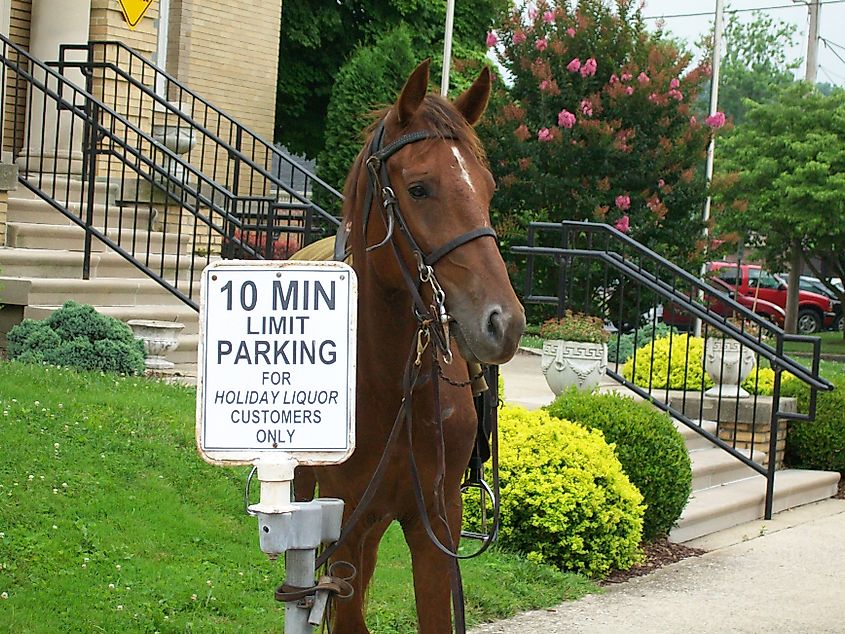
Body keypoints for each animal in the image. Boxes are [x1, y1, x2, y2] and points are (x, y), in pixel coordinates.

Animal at [294, 60, 524, 632]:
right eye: (419, 189)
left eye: (487, 189)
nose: (504, 322)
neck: (389, 384)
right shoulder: (346, 523)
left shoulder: (436, 523)